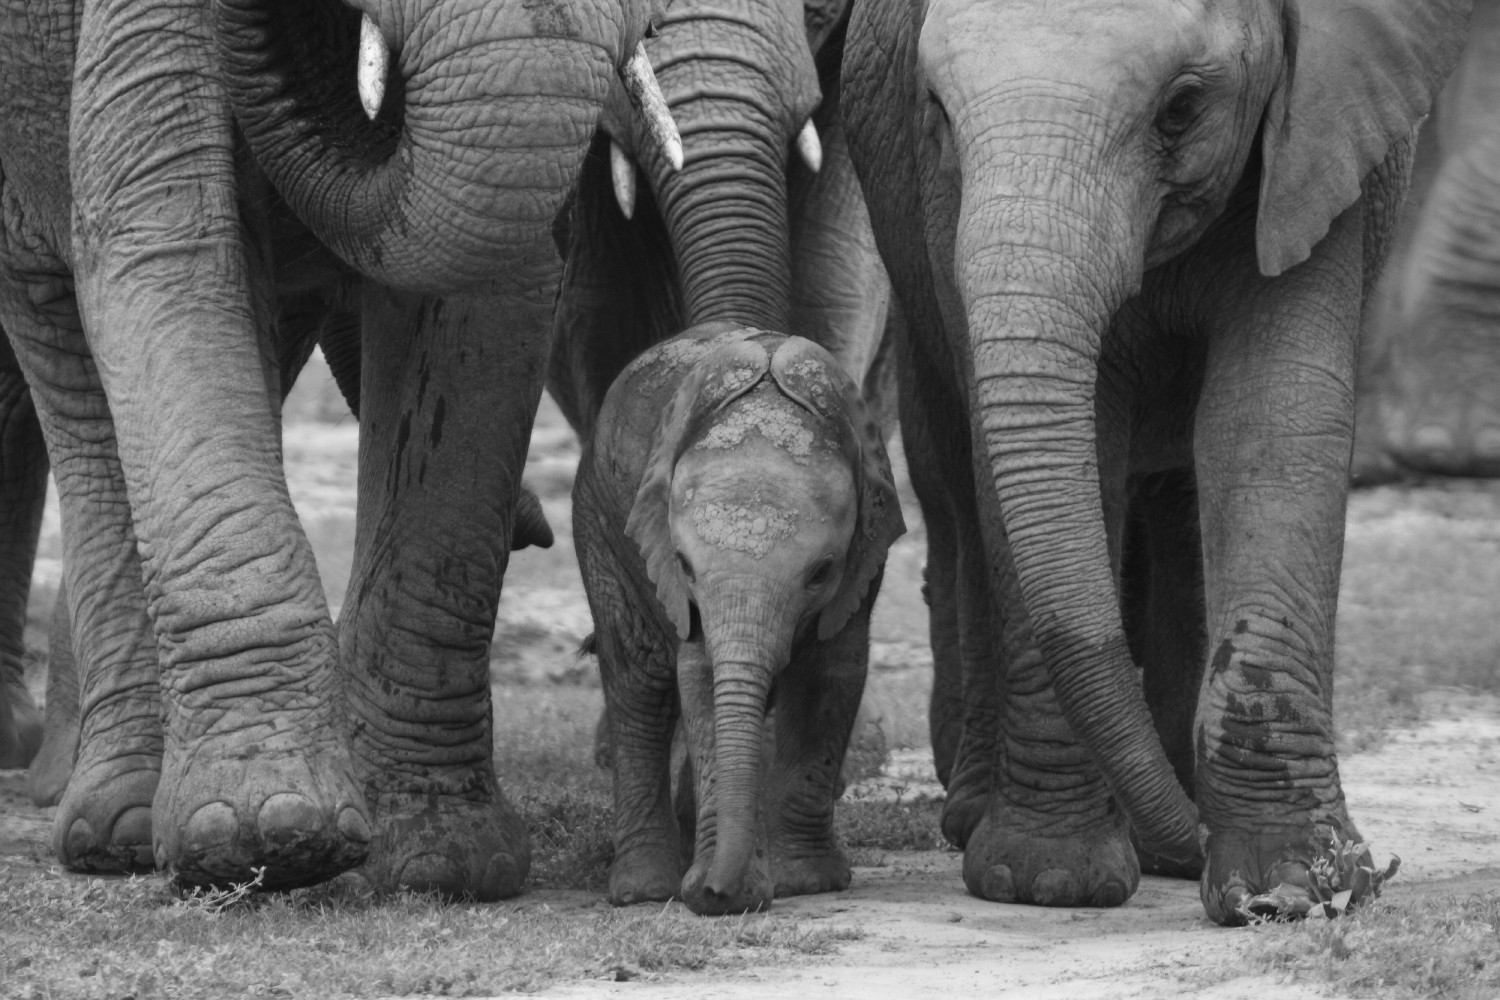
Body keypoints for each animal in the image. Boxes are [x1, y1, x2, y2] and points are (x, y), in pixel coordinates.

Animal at [0, 0, 672, 899]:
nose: (534, 529)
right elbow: (164, 238)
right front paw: (264, 835)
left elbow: (485, 296)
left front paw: (437, 860)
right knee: (65, 343)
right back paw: (122, 831)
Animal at [570, 326, 900, 917]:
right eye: (683, 564)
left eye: (821, 572)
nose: (714, 894)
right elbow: (698, 676)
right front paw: (722, 888)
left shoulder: (868, 550)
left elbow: (831, 674)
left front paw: (807, 883)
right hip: (597, 518)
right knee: (638, 677)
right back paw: (641, 890)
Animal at [846, 0, 1464, 929]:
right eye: (938, 113)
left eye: (1181, 108)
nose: (1194, 846)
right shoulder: (940, 198)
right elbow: (1064, 436)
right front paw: (1048, 882)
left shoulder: (1323, 142)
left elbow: (1270, 423)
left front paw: (1293, 887)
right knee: (954, 476)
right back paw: (991, 822)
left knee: (1175, 499)